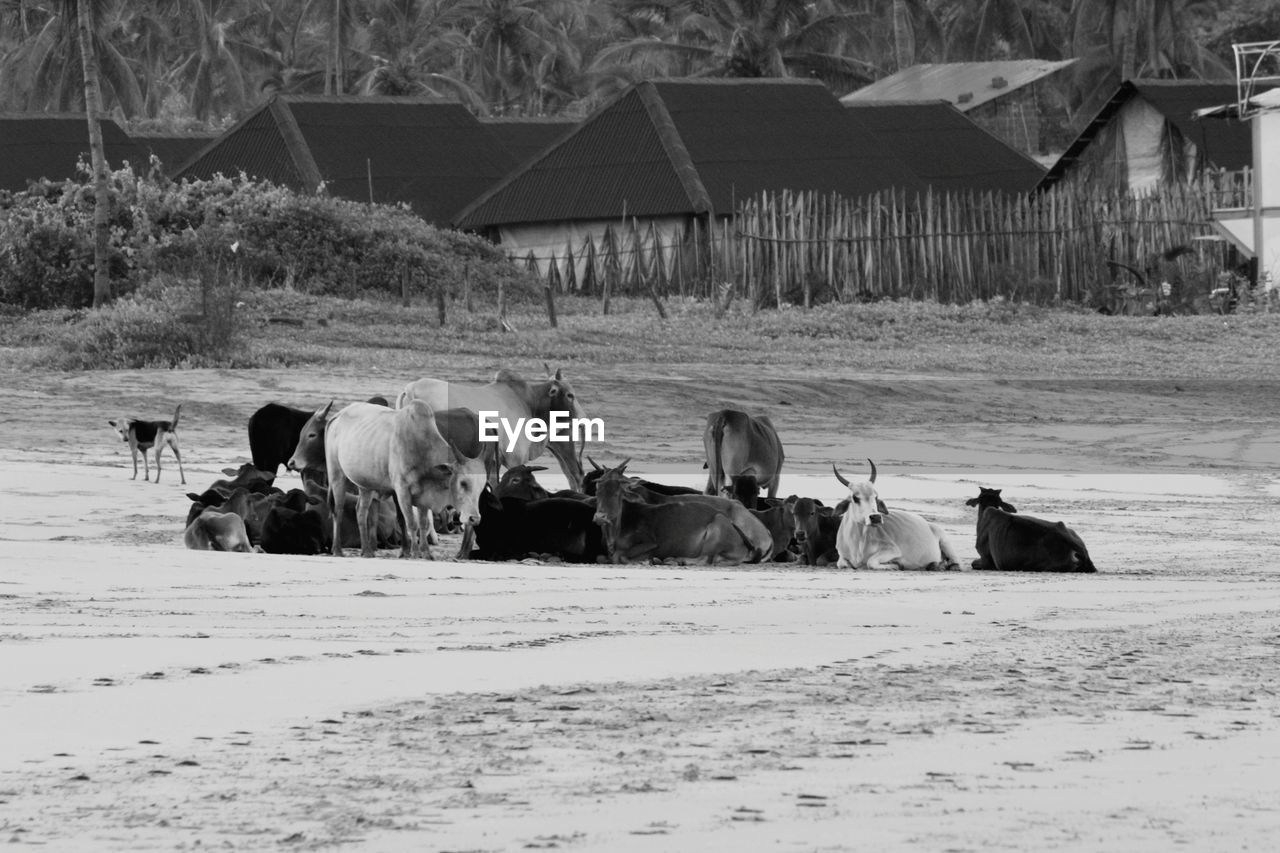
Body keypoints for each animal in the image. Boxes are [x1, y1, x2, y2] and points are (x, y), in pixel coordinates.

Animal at [289, 399, 483, 558]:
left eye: (481, 488)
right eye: (463, 482)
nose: (475, 518)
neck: (422, 447)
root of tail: (337, 416)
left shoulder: (423, 496)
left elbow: (422, 523)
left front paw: (426, 553)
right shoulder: (402, 490)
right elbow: (411, 522)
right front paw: (414, 553)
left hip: (365, 485)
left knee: (361, 511)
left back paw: (367, 550)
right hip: (337, 475)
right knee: (338, 509)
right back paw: (337, 550)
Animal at [396, 366, 586, 491]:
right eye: (570, 395)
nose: (583, 417)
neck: (529, 403)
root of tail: (410, 389)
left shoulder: (494, 461)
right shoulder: (515, 458)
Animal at [591, 458, 762, 563]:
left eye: (617, 492)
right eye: (597, 490)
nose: (600, 517)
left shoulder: (650, 542)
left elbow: (620, 556)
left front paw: (649, 561)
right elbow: (602, 557)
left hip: (715, 531)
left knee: (706, 558)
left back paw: (676, 560)